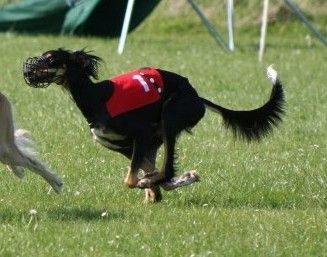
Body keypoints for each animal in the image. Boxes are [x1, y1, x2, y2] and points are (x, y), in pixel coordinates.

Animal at [23, 49, 286, 202]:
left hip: (171, 116)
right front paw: (154, 190)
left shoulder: (141, 135)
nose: (27, 70)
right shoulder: (129, 146)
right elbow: (146, 172)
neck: (95, 97)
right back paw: (177, 180)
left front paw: (146, 185)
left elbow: (130, 180)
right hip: (161, 132)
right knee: (166, 175)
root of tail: (196, 96)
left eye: (51, 58)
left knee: (167, 169)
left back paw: (156, 182)